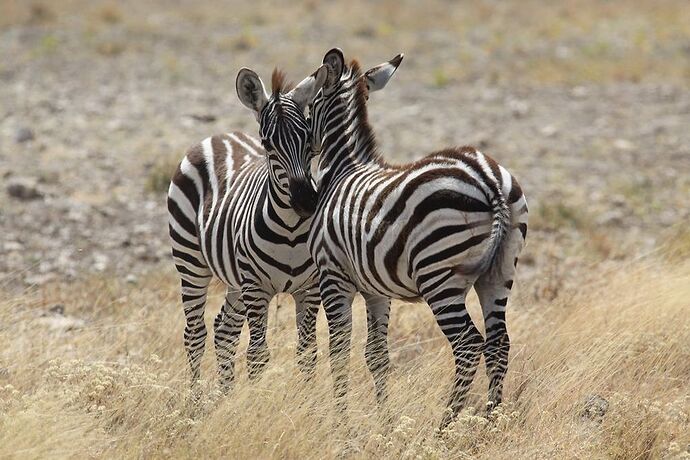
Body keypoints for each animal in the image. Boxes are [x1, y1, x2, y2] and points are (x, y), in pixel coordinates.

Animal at [167, 63, 328, 390]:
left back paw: (226, 393)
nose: (306, 201)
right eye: (268, 144)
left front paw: (309, 398)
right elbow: (257, 354)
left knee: (224, 331)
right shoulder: (256, 287)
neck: (291, 230)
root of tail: (221, 135)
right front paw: (256, 398)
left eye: (309, 139)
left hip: (234, 280)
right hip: (190, 262)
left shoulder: (310, 288)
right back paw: (195, 400)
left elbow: (308, 353)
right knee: (195, 334)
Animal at [296, 48, 528, 426]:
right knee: (499, 343)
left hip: (438, 276)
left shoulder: (333, 276)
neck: (344, 169)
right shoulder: (375, 289)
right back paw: (490, 422)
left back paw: (444, 426)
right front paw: (385, 421)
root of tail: (488, 178)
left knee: (468, 345)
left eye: (309, 104)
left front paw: (340, 421)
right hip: (500, 271)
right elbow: (376, 355)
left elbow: (339, 351)